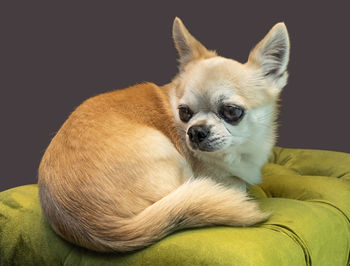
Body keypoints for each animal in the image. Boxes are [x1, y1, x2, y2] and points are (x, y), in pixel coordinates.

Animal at [37, 17, 290, 251]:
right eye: (184, 112)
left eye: (231, 111)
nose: (195, 131)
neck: (241, 149)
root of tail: (102, 226)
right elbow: (238, 184)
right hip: (169, 155)